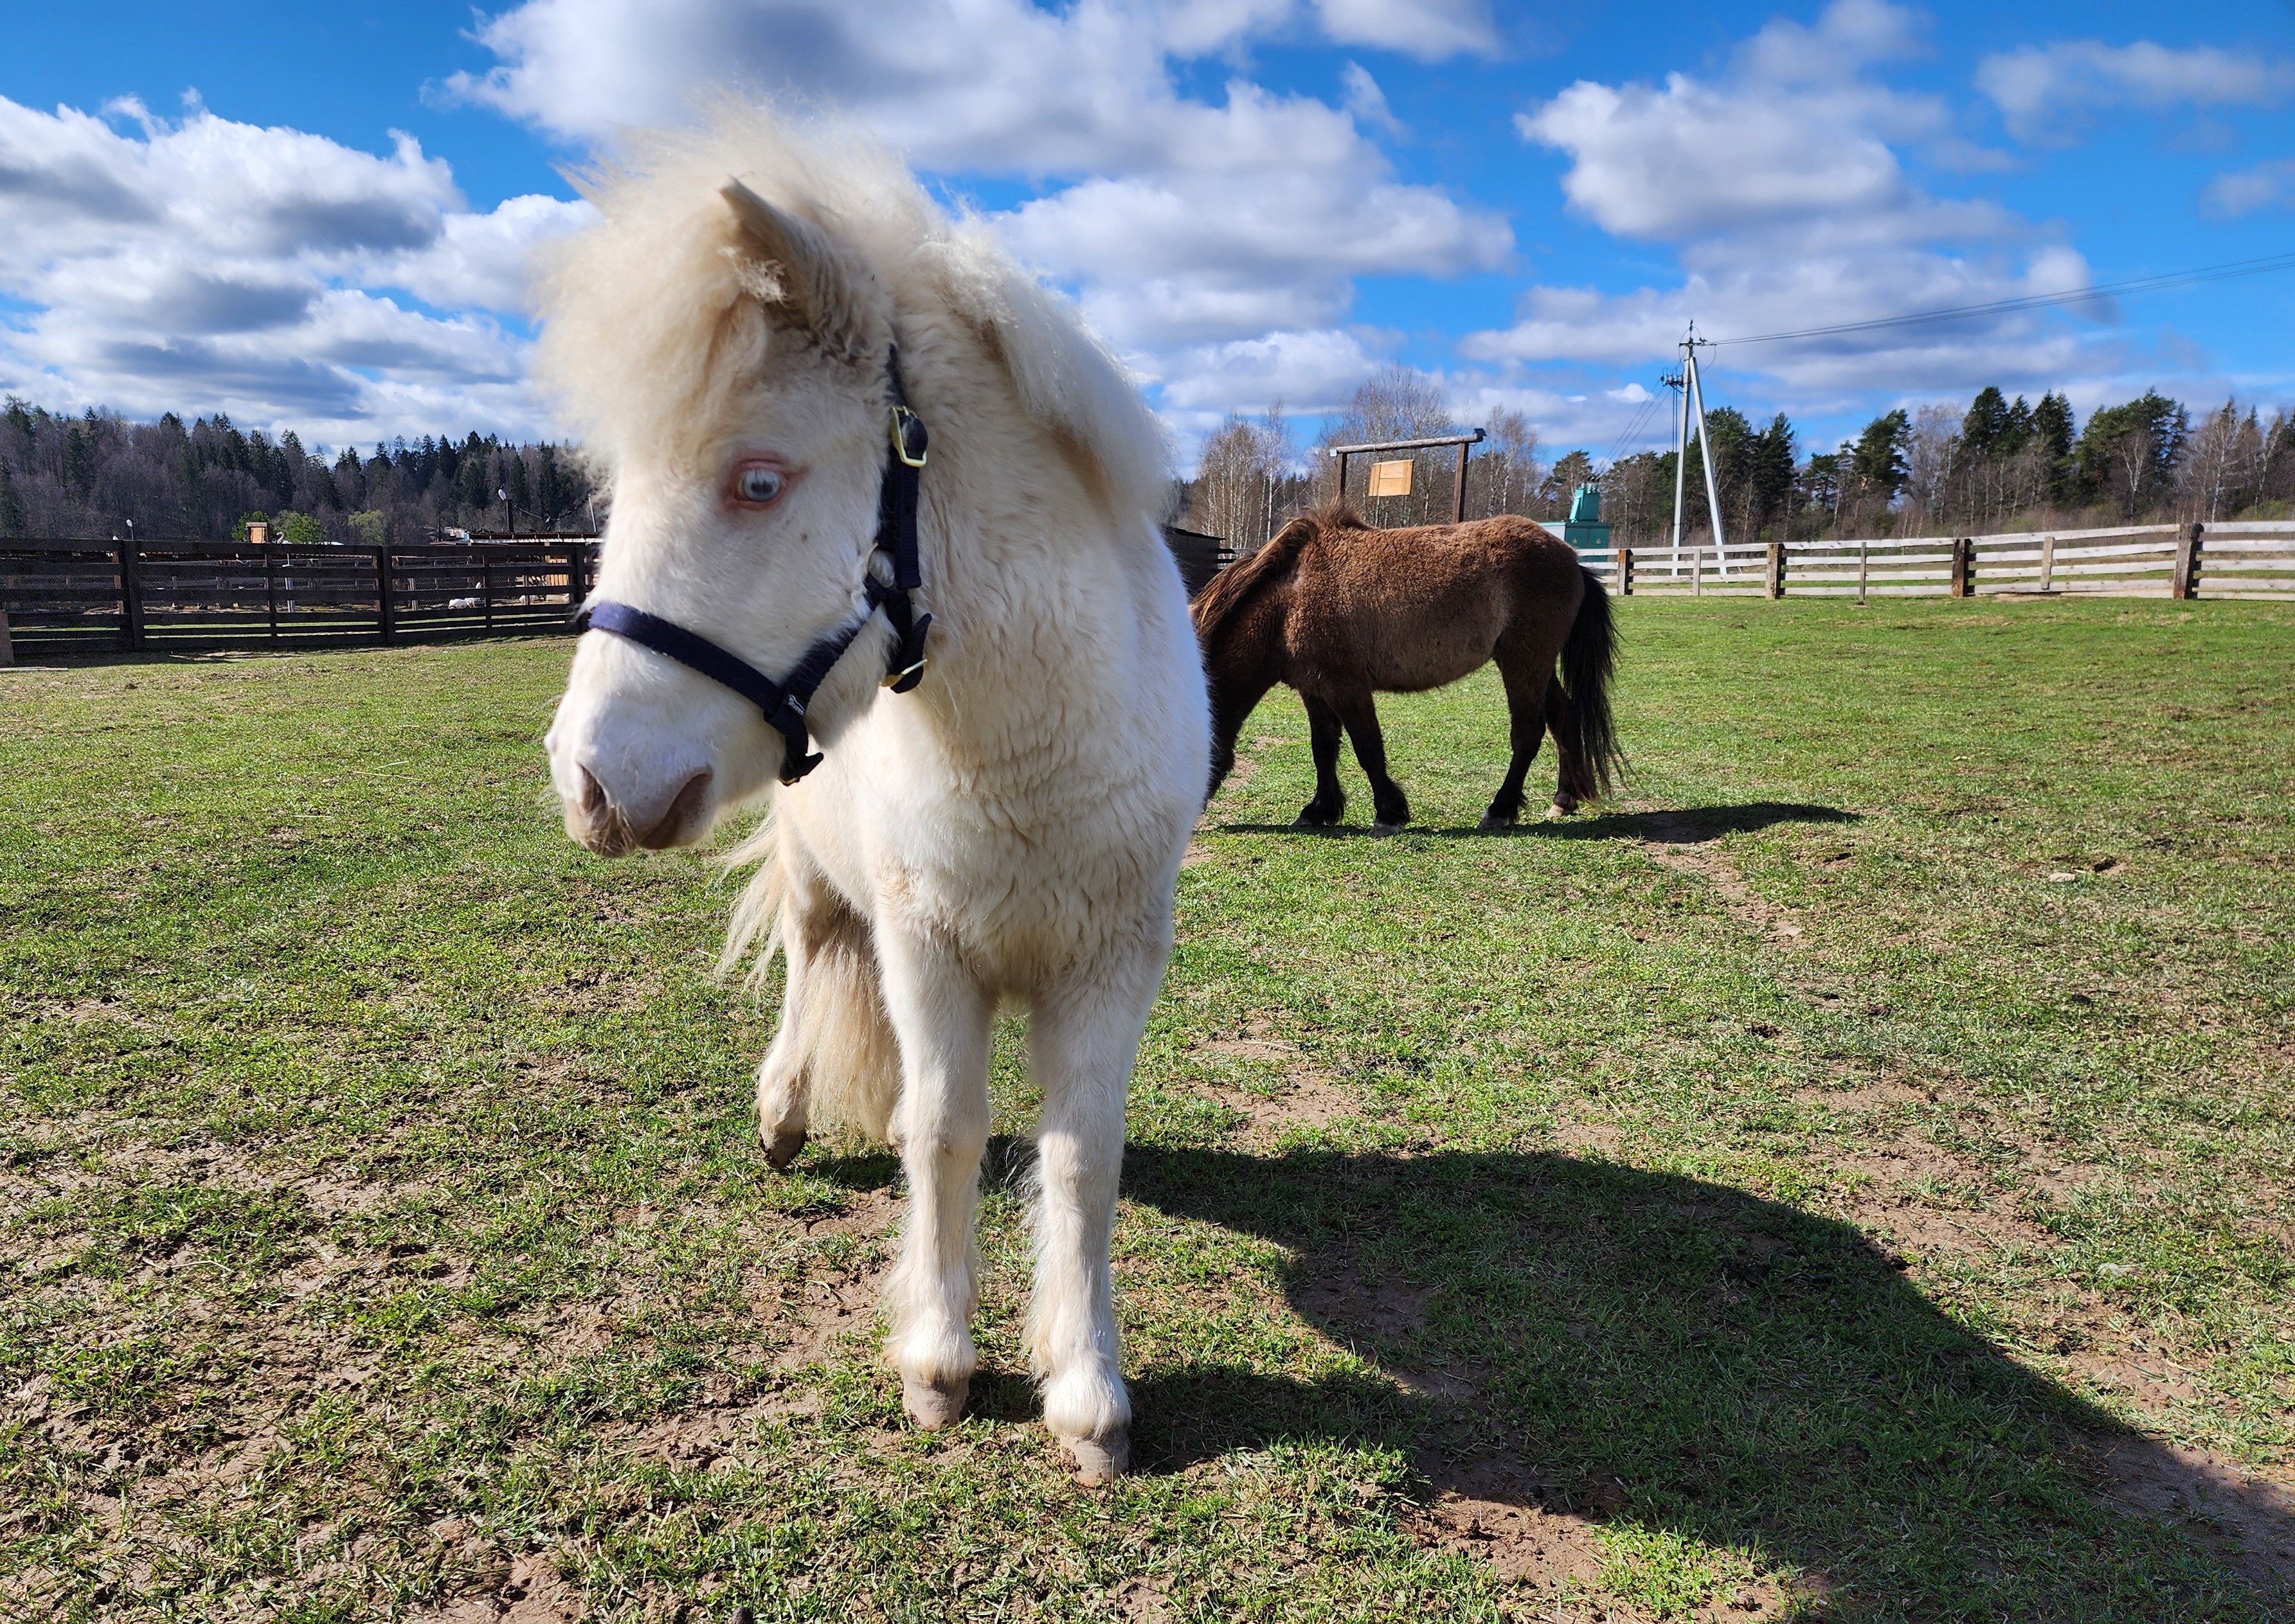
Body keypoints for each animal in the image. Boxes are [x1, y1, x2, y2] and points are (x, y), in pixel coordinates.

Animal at [537, 111, 1211, 1486]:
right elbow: (941, 1127)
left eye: (758, 481)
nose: (590, 780)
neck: (1027, 756)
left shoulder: (1113, 962)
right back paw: (783, 1114)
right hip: (817, 881)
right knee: (809, 964)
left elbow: (1083, 1154)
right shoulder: (926, 946)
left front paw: (1087, 1391)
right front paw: (940, 1363)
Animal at [1193, 504, 1625, 839]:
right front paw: (1319, 810)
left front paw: (1389, 814)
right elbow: (1324, 748)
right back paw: (1564, 800)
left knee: (1528, 733)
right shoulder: (1314, 689)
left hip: (1524, 662)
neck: (1289, 602)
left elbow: (1368, 748)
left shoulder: (1346, 687)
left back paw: (1500, 811)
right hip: (1534, 665)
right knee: (1564, 718)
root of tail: (1572, 559)